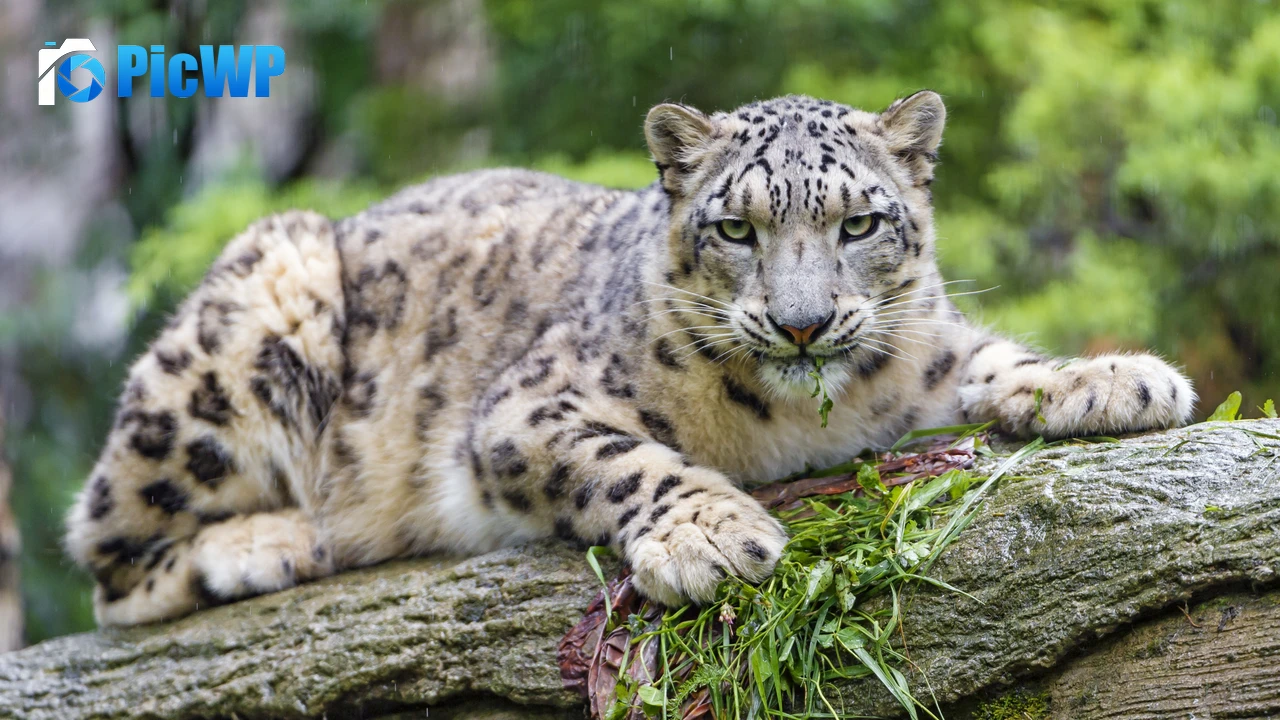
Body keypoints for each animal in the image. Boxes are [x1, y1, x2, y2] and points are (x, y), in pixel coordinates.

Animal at [65, 92, 1195, 626]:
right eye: (735, 228)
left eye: (861, 222)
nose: (801, 324)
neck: (800, 421)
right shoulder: (528, 409)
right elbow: (623, 459)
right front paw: (711, 535)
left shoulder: (927, 356)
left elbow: (993, 362)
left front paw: (1114, 378)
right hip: (240, 333)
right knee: (105, 557)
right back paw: (269, 544)